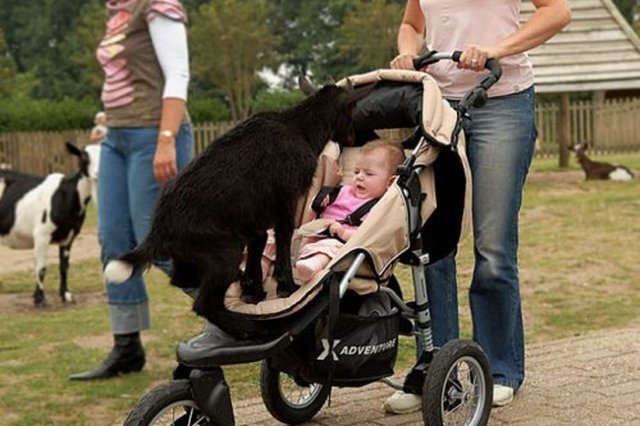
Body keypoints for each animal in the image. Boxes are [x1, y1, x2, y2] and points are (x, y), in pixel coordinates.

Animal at [0, 143, 100, 306]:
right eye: (84, 157)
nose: (98, 174)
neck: (65, 194)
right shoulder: (42, 234)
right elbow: (41, 268)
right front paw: (40, 299)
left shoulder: (69, 237)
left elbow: (64, 267)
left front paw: (66, 295)